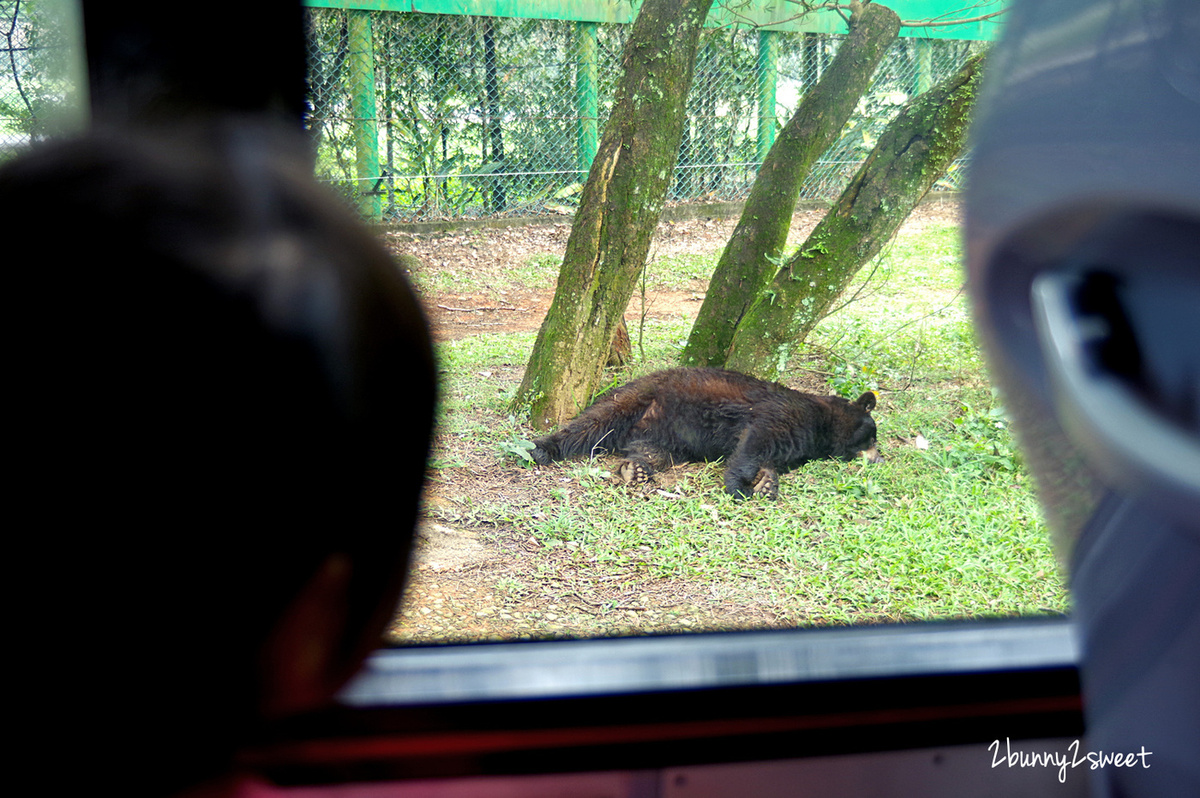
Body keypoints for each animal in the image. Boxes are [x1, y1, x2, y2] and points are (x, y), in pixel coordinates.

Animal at [532, 367, 883, 499]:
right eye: (872, 437)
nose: (879, 458)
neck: (822, 425)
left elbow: (770, 460)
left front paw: (767, 482)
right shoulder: (783, 414)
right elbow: (753, 442)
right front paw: (739, 486)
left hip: (667, 438)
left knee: (650, 451)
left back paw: (638, 469)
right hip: (638, 396)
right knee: (592, 424)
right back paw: (542, 448)